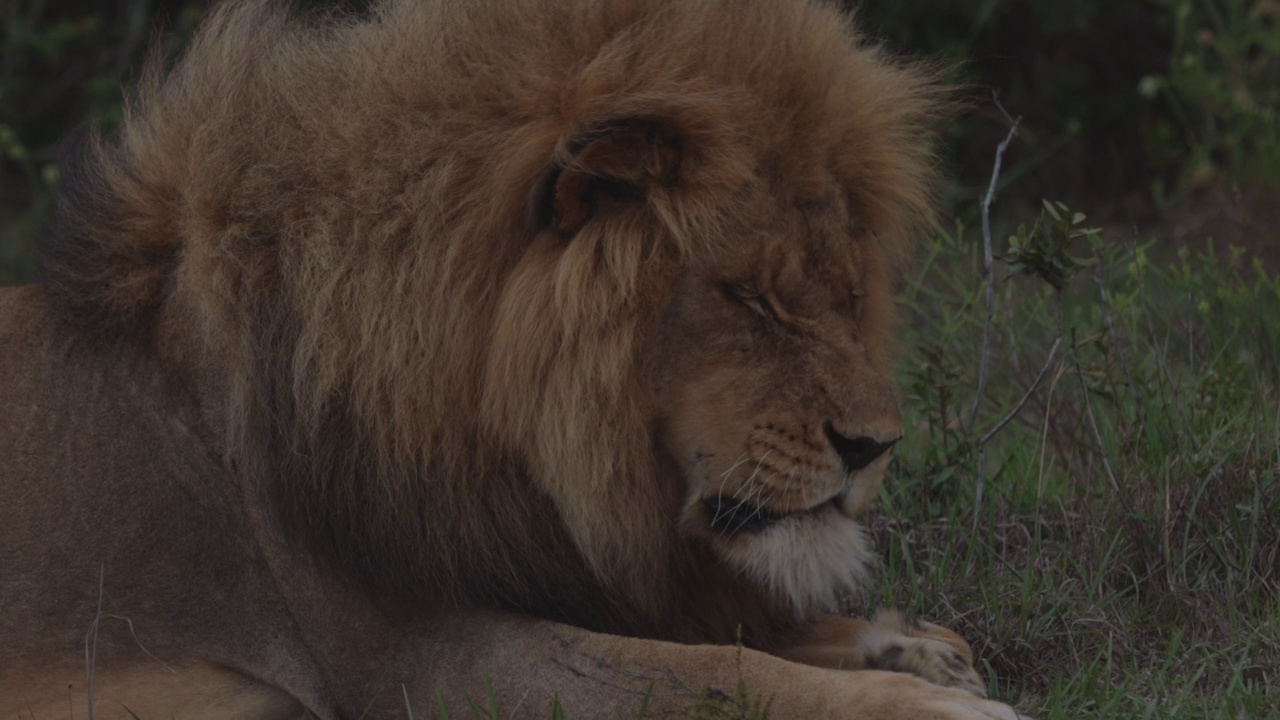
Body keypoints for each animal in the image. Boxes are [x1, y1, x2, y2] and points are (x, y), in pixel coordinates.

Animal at [0, 0, 1018, 712]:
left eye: (849, 295)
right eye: (752, 297)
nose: (876, 448)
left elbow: (742, 632)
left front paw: (917, 649)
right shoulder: (416, 665)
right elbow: (703, 675)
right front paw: (928, 703)